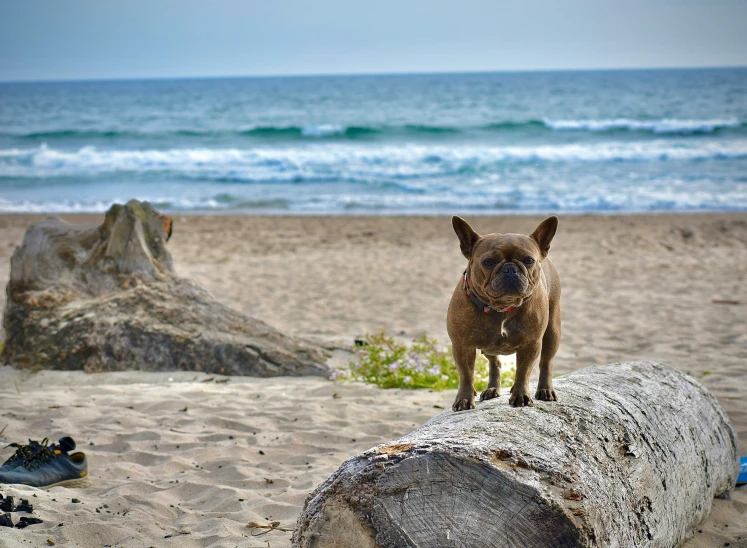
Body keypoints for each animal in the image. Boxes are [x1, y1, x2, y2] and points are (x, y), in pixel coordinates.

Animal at [444, 217, 560, 412]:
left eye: (528, 260)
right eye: (488, 262)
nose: (510, 269)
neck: (501, 307)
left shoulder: (531, 344)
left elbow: (523, 372)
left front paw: (521, 395)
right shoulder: (462, 346)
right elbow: (466, 374)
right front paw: (465, 398)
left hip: (552, 331)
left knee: (546, 362)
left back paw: (545, 389)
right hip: (488, 346)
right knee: (495, 362)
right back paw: (492, 389)